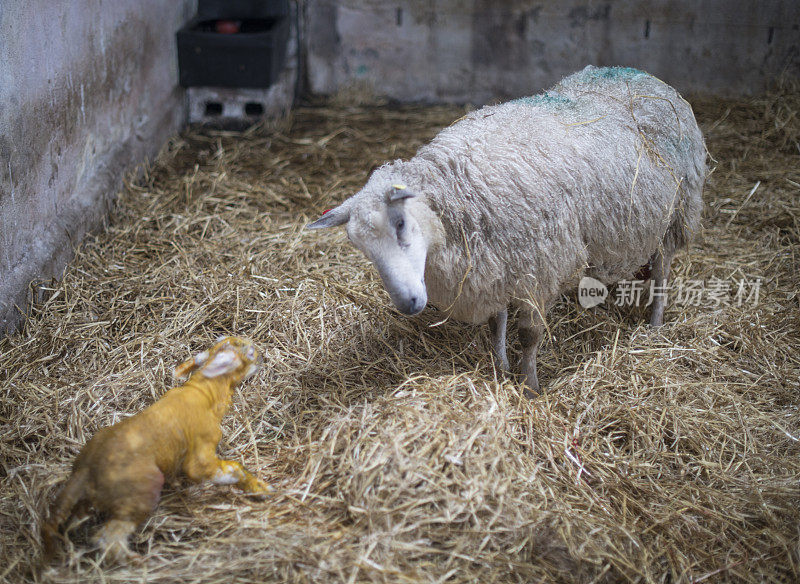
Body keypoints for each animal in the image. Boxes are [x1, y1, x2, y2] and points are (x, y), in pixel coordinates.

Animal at [43, 338, 268, 560]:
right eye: (249, 353)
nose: (261, 356)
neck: (205, 394)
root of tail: (86, 470)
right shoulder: (200, 452)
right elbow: (226, 470)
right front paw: (260, 488)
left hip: (88, 500)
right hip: (139, 494)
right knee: (108, 538)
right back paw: (136, 560)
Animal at [310, 66, 704, 396]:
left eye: (401, 223)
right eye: (363, 249)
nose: (408, 305)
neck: (460, 192)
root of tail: (640, 73)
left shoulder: (539, 265)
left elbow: (529, 335)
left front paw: (529, 386)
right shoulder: (496, 262)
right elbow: (494, 323)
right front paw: (499, 368)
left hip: (676, 215)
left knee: (662, 271)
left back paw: (655, 325)